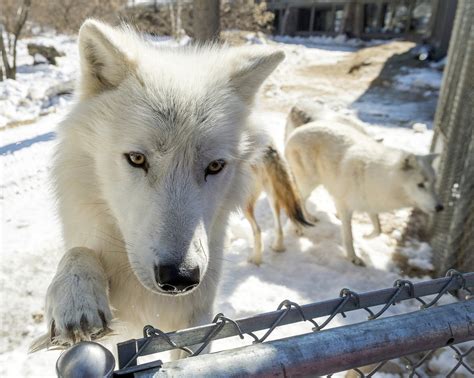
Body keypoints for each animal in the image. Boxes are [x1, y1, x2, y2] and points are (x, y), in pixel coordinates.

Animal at [31, 19, 284, 352]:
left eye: (215, 166)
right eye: (137, 158)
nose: (180, 278)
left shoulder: (199, 316)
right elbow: (78, 252)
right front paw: (75, 298)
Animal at [286, 119, 444, 264]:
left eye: (434, 183)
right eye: (420, 185)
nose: (440, 207)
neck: (381, 177)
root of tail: (294, 133)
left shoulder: (370, 203)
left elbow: (378, 229)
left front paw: (366, 237)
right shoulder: (344, 205)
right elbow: (348, 236)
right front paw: (353, 257)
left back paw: (309, 218)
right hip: (309, 184)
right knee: (297, 199)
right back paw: (299, 226)